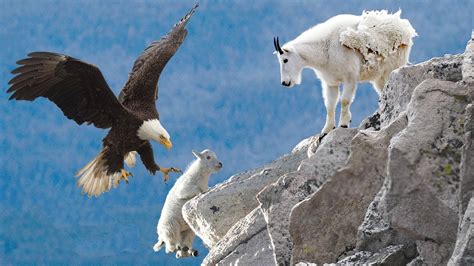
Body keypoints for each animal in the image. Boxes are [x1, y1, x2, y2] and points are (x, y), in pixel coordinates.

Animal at [272, 10, 416, 139]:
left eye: (285, 60)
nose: (285, 83)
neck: (324, 48)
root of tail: (404, 28)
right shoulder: (330, 83)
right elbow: (330, 105)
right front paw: (326, 130)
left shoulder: (350, 78)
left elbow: (345, 100)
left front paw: (344, 124)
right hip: (379, 77)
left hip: (393, 68)